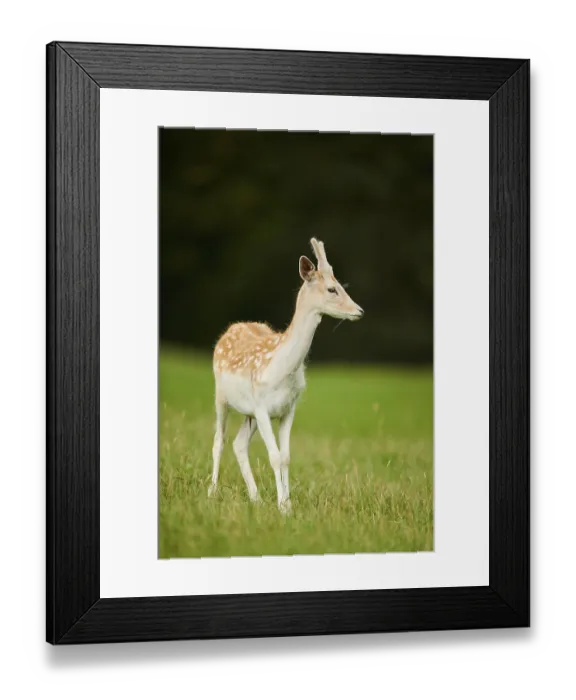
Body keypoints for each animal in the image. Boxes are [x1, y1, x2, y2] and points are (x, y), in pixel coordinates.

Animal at [209, 238, 364, 514]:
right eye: (332, 289)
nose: (359, 310)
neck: (282, 369)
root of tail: (231, 328)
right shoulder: (261, 406)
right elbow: (275, 457)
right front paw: (283, 507)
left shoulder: (287, 408)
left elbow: (286, 457)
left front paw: (287, 504)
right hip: (221, 396)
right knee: (220, 440)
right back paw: (212, 492)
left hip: (249, 413)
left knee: (239, 444)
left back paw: (256, 498)